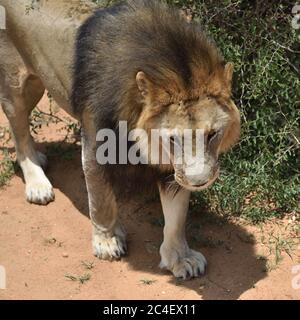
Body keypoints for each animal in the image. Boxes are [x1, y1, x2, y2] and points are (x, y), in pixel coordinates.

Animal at [0, 0, 239, 278]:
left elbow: (176, 216)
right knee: (18, 130)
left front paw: (180, 258)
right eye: (173, 139)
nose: (199, 182)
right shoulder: (95, 145)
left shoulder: (172, 167)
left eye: (212, 134)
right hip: (17, 84)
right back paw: (37, 183)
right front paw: (106, 241)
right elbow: (101, 200)